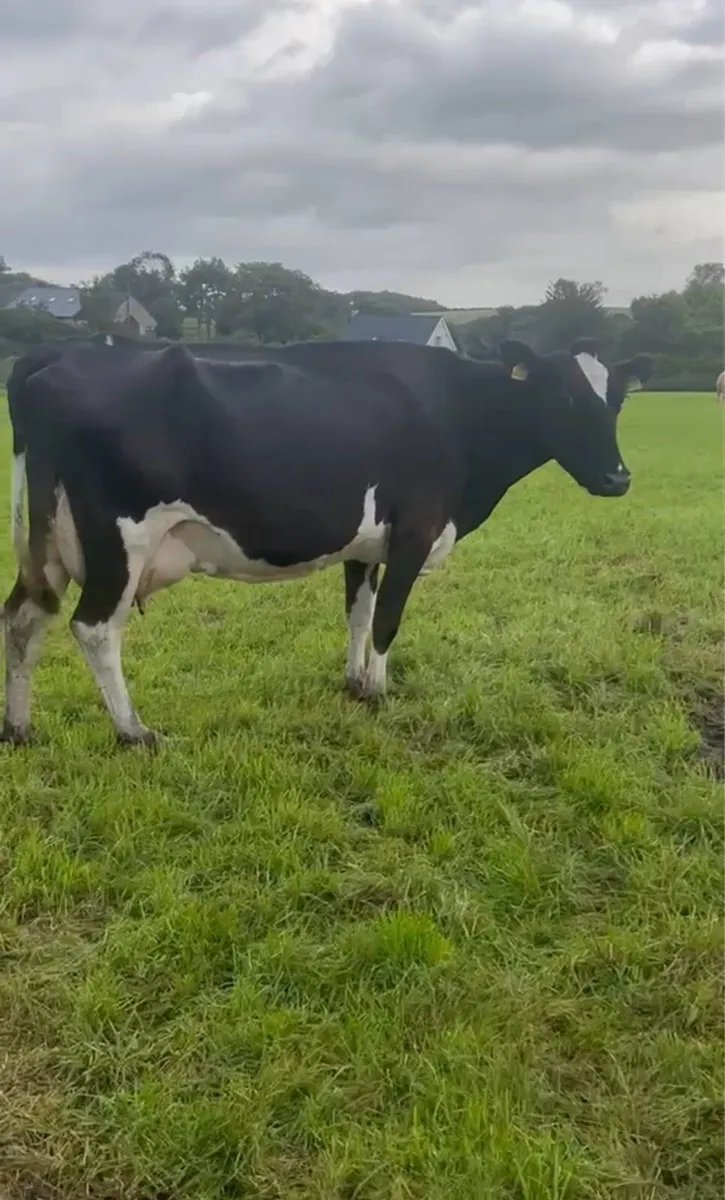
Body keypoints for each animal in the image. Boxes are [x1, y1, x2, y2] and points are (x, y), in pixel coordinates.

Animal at [1, 337, 652, 747]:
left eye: (617, 399)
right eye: (563, 397)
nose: (619, 478)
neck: (458, 414)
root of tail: (50, 356)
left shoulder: (366, 546)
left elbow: (359, 613)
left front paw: (355, 683)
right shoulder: (415, 531)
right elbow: (388, 618)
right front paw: (381, 691)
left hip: (47, 545)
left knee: (25, 618)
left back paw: (19, 728)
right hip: (118, 542)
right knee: (93, 628)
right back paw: (133, 731)